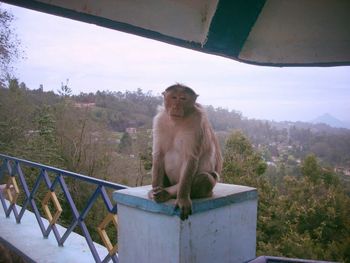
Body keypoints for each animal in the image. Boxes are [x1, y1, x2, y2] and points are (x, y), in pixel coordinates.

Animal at [148, 84, 221, 221]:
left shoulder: (196, 123)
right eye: (174, 97)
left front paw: (182, 199)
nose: (176, 106)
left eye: (183, 99)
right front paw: (155, 190)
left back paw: (168, 193)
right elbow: (159, 154)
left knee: (205, 177)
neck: (177, 122)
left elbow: (190, 159)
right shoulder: (160, 120)